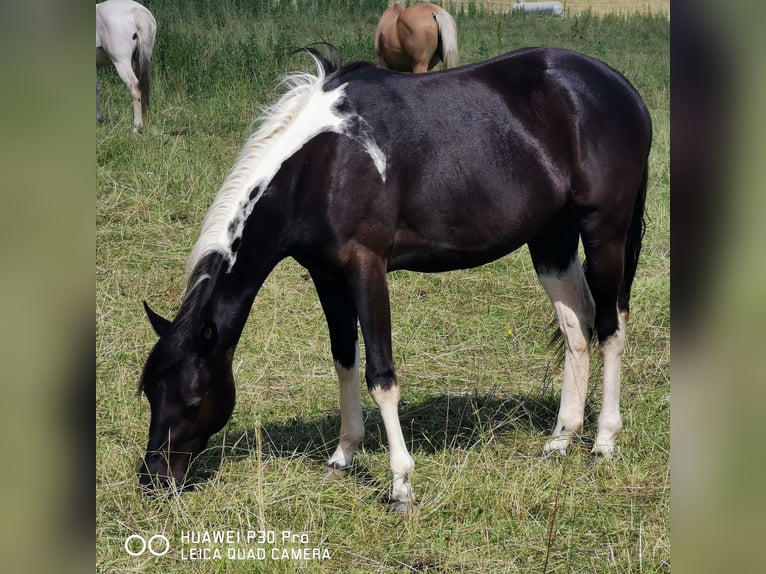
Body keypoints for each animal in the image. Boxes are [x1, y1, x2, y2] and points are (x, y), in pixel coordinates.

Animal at [138, 45, 652, 512]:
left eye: (194, 399)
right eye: (149, 394)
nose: (154, 479)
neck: (322, 164)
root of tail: (621, 88)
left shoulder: (367, 268)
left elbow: (381, 375)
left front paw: (401, 485)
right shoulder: (327, 276)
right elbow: (344, 359)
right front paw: (342, 456)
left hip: (604, 231)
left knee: (611, 327)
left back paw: (603, 442)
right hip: (551, 239)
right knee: (578, 326)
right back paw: (562, 438)